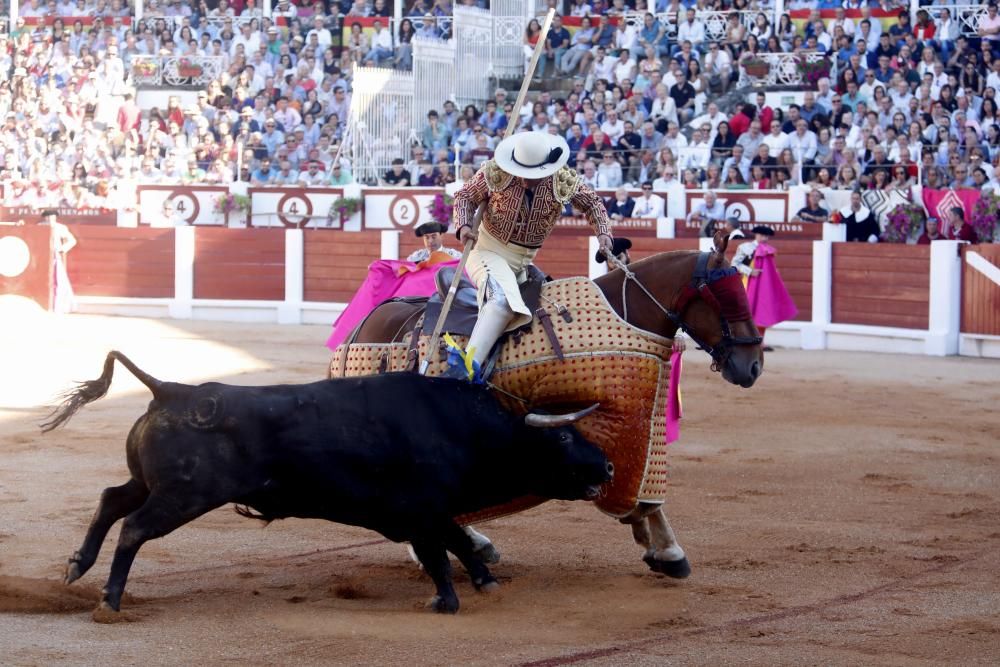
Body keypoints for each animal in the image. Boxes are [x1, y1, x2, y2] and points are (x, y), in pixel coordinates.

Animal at [45, 350, 608, 616]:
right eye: (563, 437)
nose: (605, 468)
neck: (461, 426)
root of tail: (171, 389)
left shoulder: (430, 510)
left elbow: (457, 542)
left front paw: (486, 581)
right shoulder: (419, 509)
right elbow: (439, 553)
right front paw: (445, 601)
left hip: (154, 484)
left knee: (111, 500)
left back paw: (77, 567)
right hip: (185, 496)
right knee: (135, 528)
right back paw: (110, 600)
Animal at [332, 236, 760, 580]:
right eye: (724, 297)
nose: (753, 365)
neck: (624, 314)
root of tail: (367, 323)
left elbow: (645, 491)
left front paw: (663, 548)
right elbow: (632, 493)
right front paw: (663, 548)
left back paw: (473, 545)